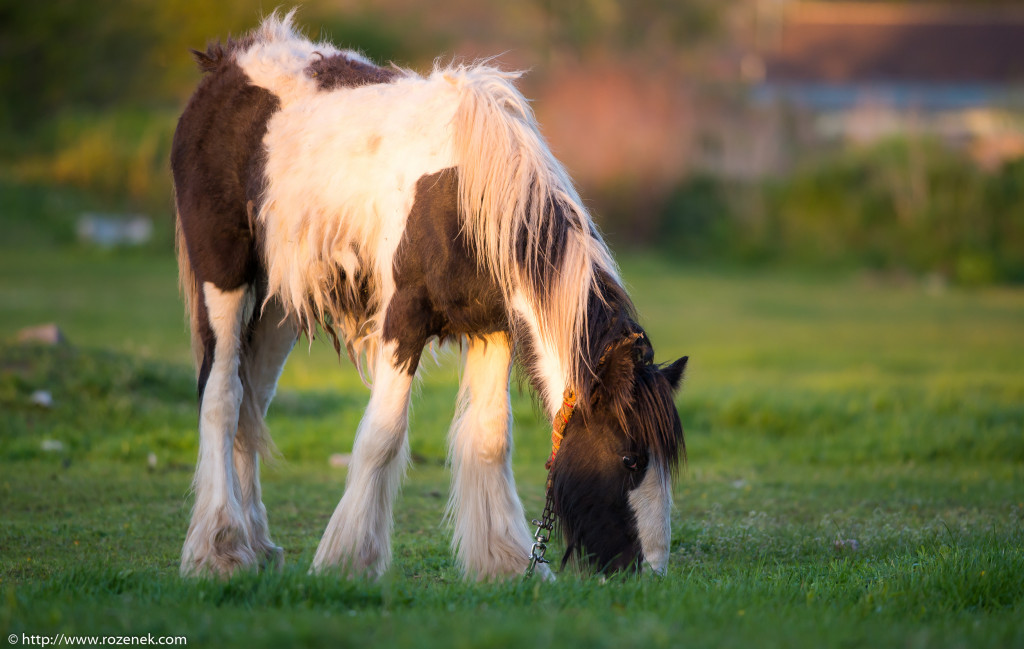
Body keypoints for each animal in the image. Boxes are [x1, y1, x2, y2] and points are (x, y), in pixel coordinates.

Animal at [172, 11, 688, 577]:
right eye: (631, 458)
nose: (651, 571)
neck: (466, 195)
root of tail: (225, 64)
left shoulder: (493, 327)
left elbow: (490, 440)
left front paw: (507, 566)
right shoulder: (404, 320)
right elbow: (382, 436)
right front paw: (348, 562)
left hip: (278, 306)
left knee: (252, 402)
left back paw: (256, 545)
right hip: (225, 278)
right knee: (222, 395)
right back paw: (220, 548)